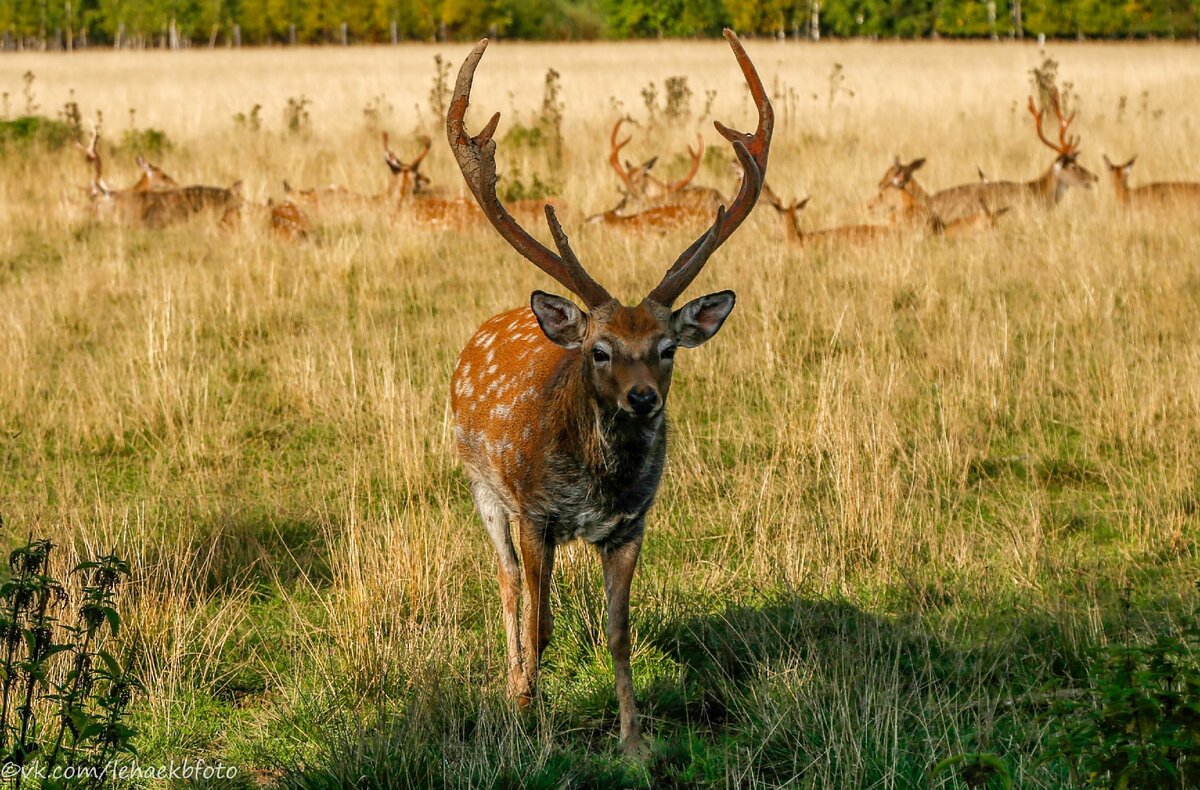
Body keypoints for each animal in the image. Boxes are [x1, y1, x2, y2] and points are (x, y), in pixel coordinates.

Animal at [446, 30, 772, 758]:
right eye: (599, 350)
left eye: (667, 347)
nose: (643, 399)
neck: (596, 483)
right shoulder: (534, 511)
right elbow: (539, 624)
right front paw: (530, 721)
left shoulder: (630, 525)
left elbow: (619, 632)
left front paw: (634, 744)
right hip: (482, 487)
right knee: (508, 585)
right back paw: (512, 685)